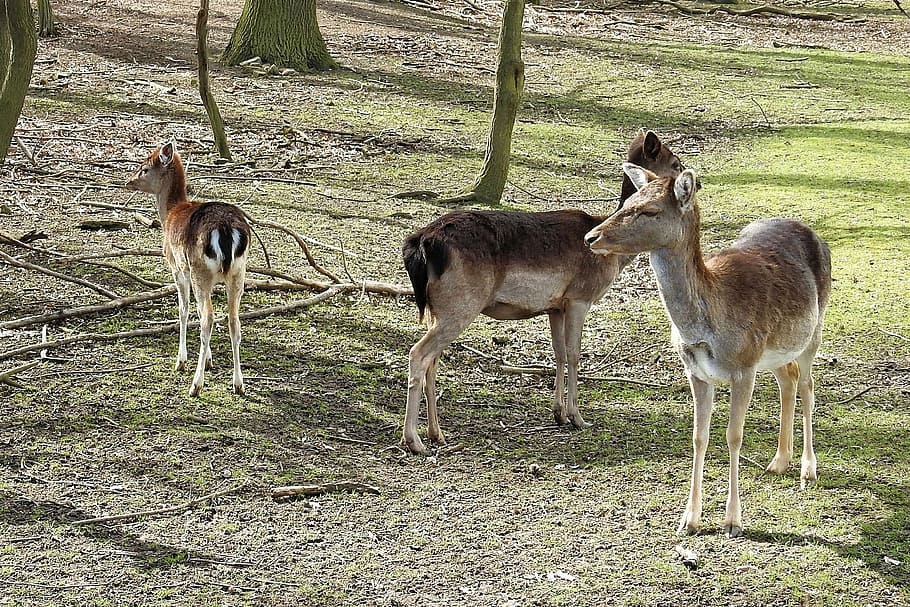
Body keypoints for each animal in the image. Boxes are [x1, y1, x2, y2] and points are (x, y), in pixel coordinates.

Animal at [127, 142, 251, 397]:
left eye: (144, 168)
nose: (128, 181)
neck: (170, 212)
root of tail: (226, 230)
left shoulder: (177, 266)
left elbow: (184, 309)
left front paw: (181, 360)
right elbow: (196, 308)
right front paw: (210, 360)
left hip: (199, 270)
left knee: (208, 318)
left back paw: (196, 384)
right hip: (238, 273)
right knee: (233, 320)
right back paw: (238, 384)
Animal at [400, 130, 688, 454]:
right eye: (675, 163)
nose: (696, 182)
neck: (612, 259)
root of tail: (421, 242)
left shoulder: (555, 307)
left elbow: (558, 353)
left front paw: (558, 413)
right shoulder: (579, 297)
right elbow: (574, 354)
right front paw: (578, 417)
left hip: (437, 308)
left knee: (433, 360)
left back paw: (437, 433)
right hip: (461, 304)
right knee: (418, 353)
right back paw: (413, 440)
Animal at [584, 163, 831, 537]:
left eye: (650, 210)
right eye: (627, 201)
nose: (591, 237)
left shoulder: (743, 368)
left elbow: (733, 436)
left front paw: (732, 521)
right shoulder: (696, 371)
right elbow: (699, 437)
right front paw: (689, 520)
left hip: (813, 331)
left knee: (808, 386)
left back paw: (807, 470)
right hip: (774, 349)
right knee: (787, 380)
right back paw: (778, 462)